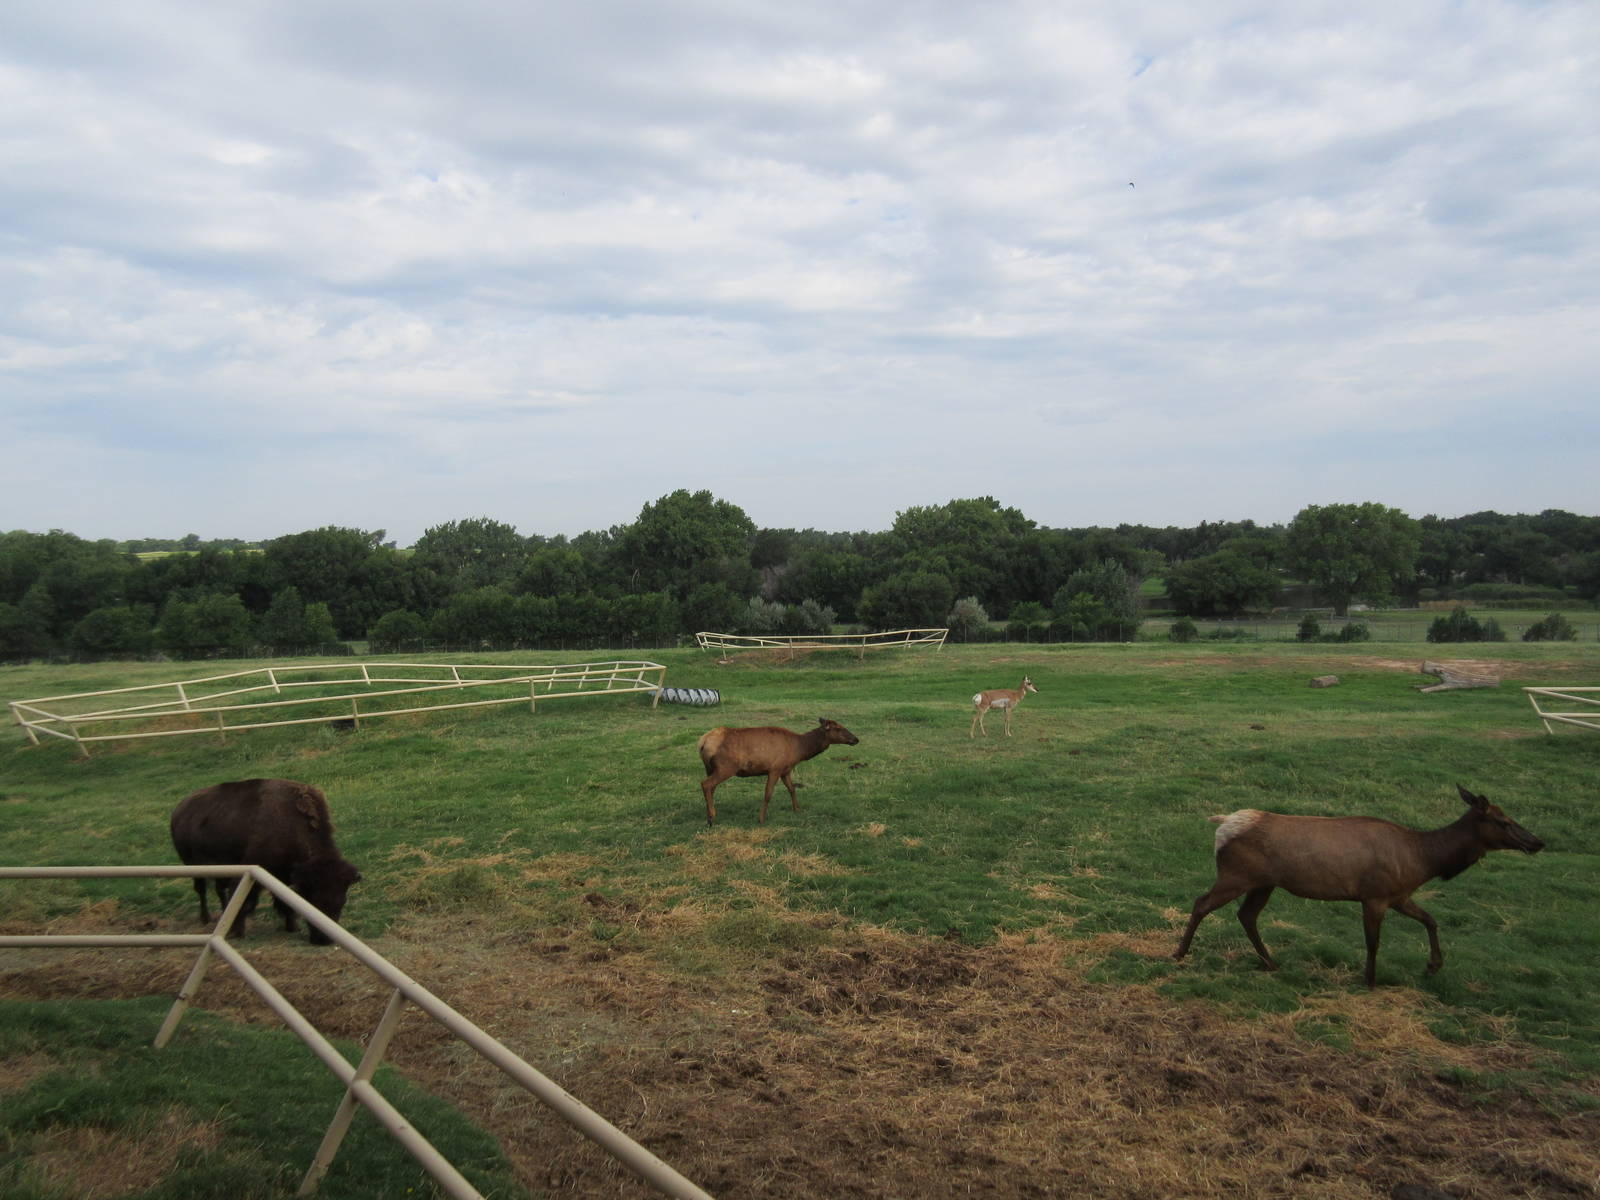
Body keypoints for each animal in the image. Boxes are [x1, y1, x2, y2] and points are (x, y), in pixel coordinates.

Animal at [698, 718, 860, 825]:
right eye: (838, 728)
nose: (856, 739)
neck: (798, 750)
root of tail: (703, 742)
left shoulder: (785, 770)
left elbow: (792, 789)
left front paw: (797, 809)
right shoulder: (775, 769)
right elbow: (768, 794)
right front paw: (761, 819)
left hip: (709, 768)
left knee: (711, 788)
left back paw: (708, 816)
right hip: (726, 767)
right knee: (706, 784)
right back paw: (711, 817)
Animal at [1172, 785, 1544, 988]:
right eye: (1503, 821)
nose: (1537, 841)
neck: (1424, 861)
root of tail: (1222, 824)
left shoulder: (1399, 895)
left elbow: (1431, 920)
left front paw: (1433, 966)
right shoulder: (1375, 895)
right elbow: (1373, 942)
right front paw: (1370, 980)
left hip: (1263, 883)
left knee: (1247, 916)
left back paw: (1270, 962)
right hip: (1235, 876)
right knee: (1202, 902)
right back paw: (1179, 953)